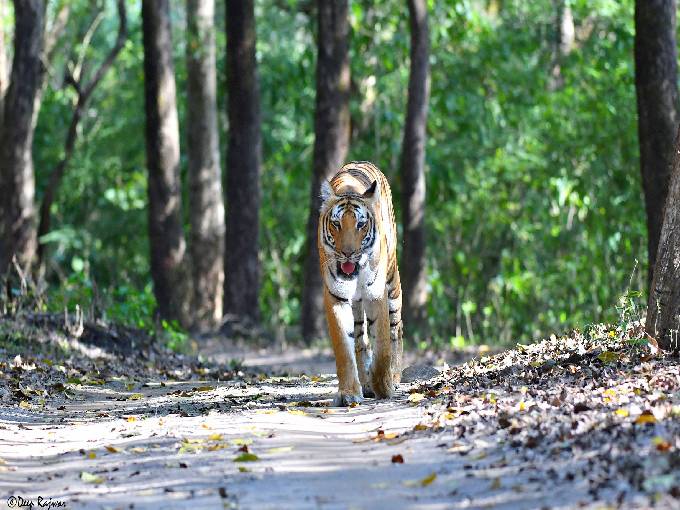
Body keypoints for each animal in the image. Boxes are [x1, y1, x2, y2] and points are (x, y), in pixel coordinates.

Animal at [318, 160, 404, 406]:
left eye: (360, 225)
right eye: (336, 224)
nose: (348, 253)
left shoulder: (376, 295)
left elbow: (383, 345)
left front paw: (384, 386)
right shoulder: (336, 297)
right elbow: (344, 347)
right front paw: (349, 393)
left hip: (393, 285)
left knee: (396, 329)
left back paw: (394, 376)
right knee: (359, 339)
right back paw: (365, 382)